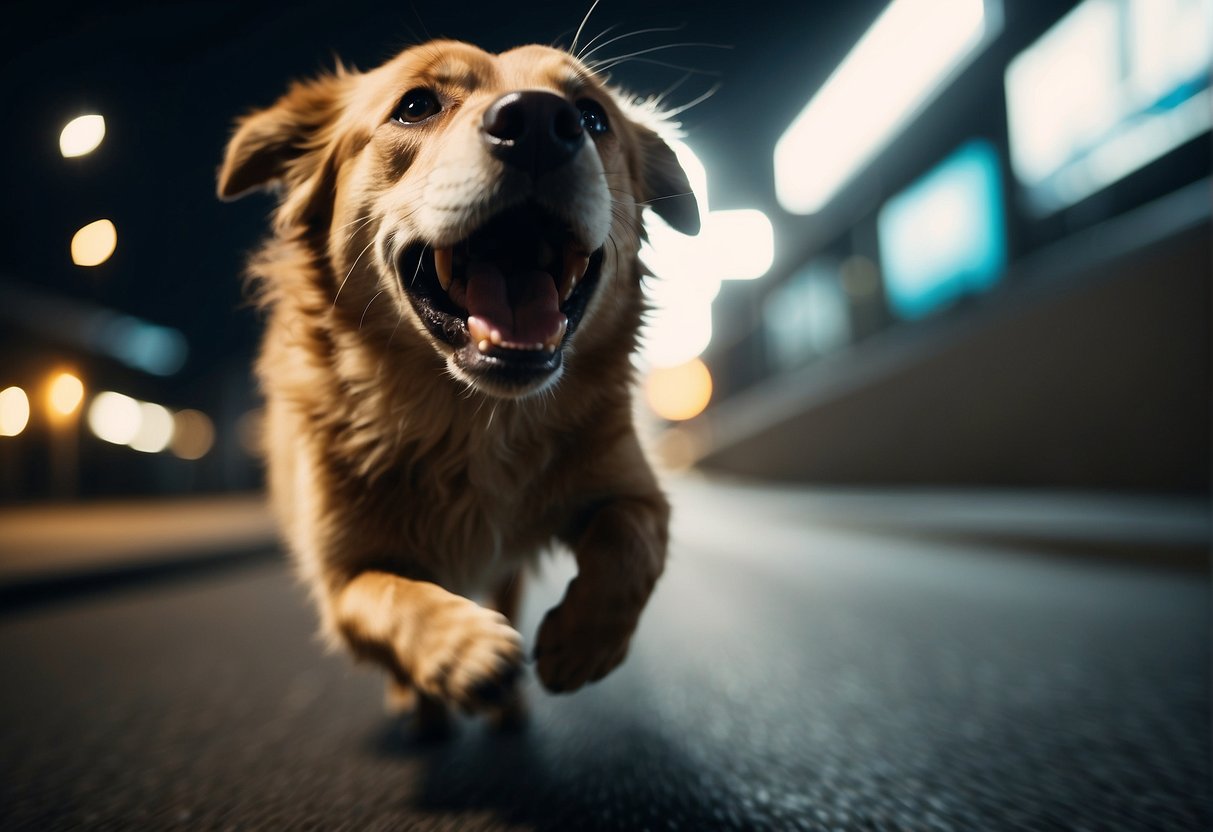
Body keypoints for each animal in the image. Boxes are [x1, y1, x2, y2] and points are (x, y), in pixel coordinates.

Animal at [213, 40, 698, 727]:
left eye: (593, 115)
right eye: (415, 105)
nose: (539, 124)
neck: (472, 424)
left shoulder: (634, 491)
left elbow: (631, 543)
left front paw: (582, 644)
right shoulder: (340, 579)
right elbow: (391, 595)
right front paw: (464, 650)